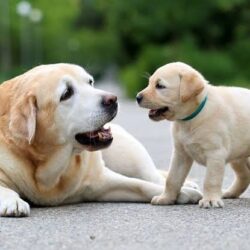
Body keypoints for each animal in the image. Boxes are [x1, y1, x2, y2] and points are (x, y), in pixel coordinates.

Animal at [0, 63, 201, 217]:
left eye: (90, 82)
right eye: (66, 93)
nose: (113, 99)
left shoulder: (103, 180)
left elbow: (142, 185)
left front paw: (180, 193)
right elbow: (4, 188)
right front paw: (13, 201)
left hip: (129, 154)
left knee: (153, 176)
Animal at [137, 61, 250, 208]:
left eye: (160, 86)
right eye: (149, 83)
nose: (137, 97)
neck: (190, 119)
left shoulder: (215, 154)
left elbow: (210, 180)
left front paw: (210, 200)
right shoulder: (180, 154)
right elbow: (172, 179)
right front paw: (166, 198)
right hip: (238, 157)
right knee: (244, 176)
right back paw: (229, 192)